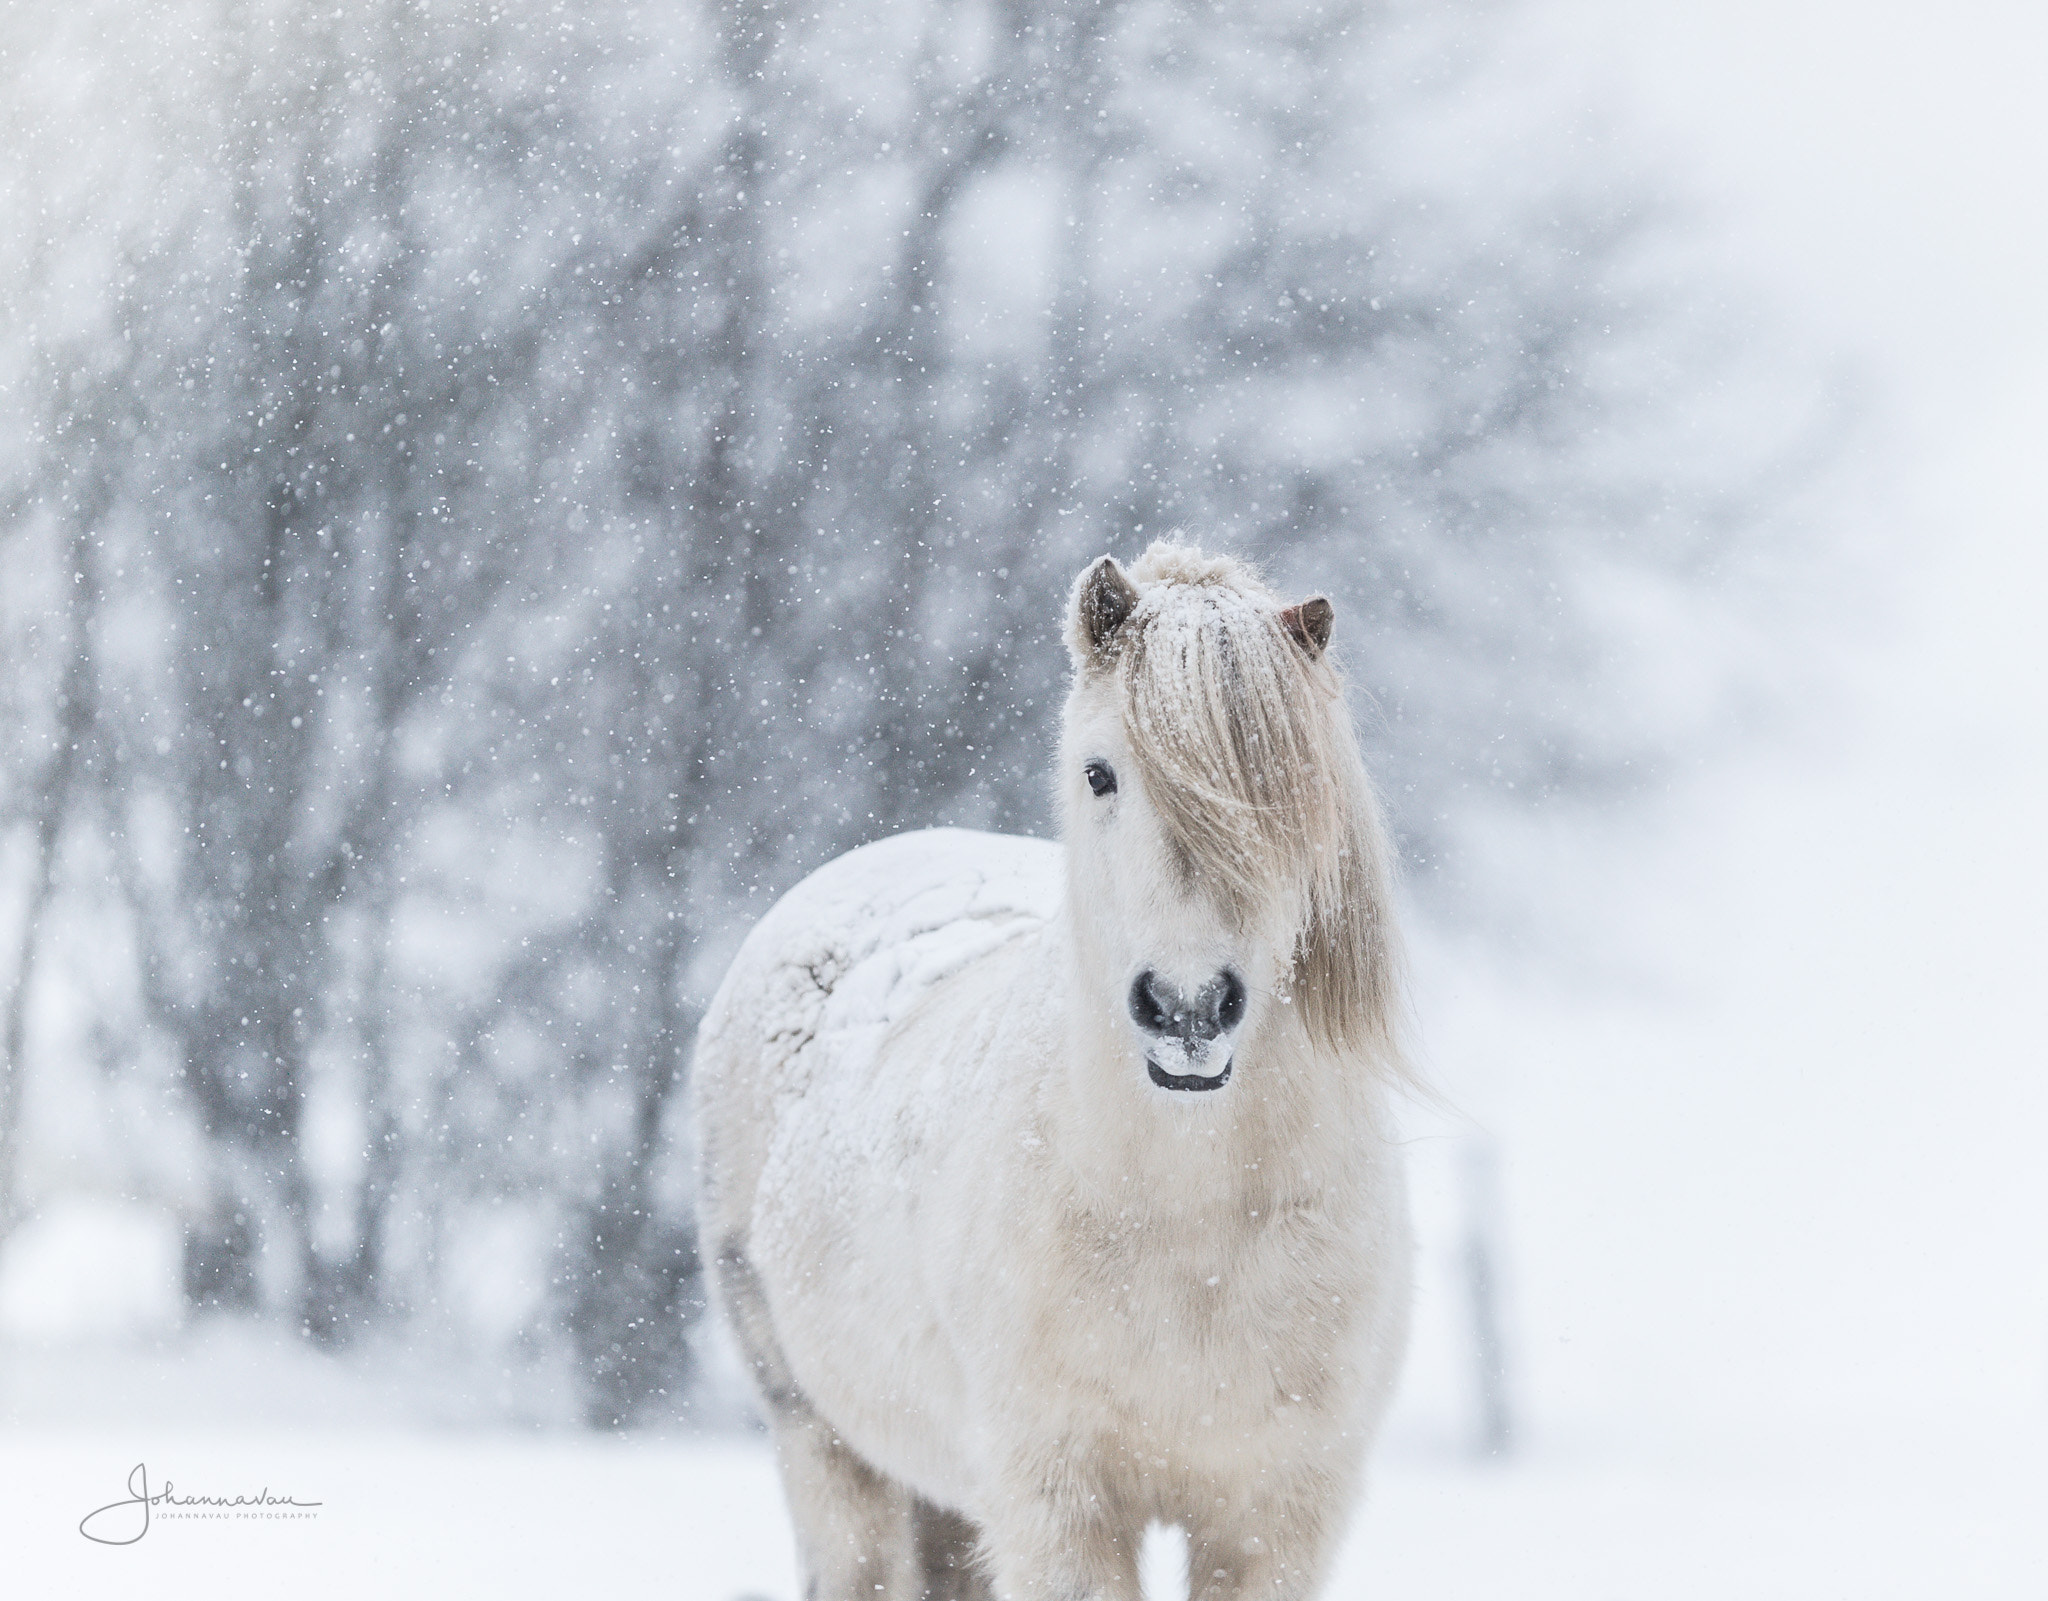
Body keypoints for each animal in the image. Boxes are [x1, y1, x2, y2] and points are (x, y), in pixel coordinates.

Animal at [696, 540, 1417, 1601]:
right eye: (1099, 772)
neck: (1193, 1224)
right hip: (825, 1448)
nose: (1188, 1008)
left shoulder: (1276, 1515)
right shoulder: (1058, 1506)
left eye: (1285, 786)